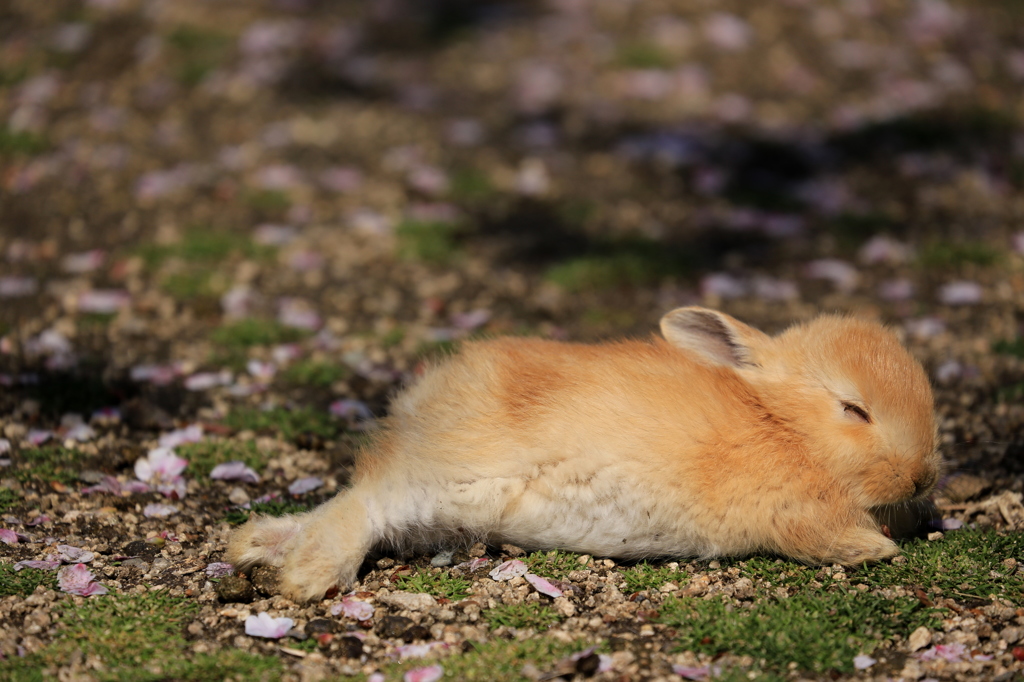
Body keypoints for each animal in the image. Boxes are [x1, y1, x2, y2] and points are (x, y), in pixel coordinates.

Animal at [228, 307, 937, 602]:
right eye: (853, 409)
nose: (923, 476)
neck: (783, 428)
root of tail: (416, 412)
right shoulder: (794, 514)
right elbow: (828, 537)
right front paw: (878, 550)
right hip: (456, 479)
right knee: (362, 507)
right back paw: (304, 578)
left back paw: (251, 547)